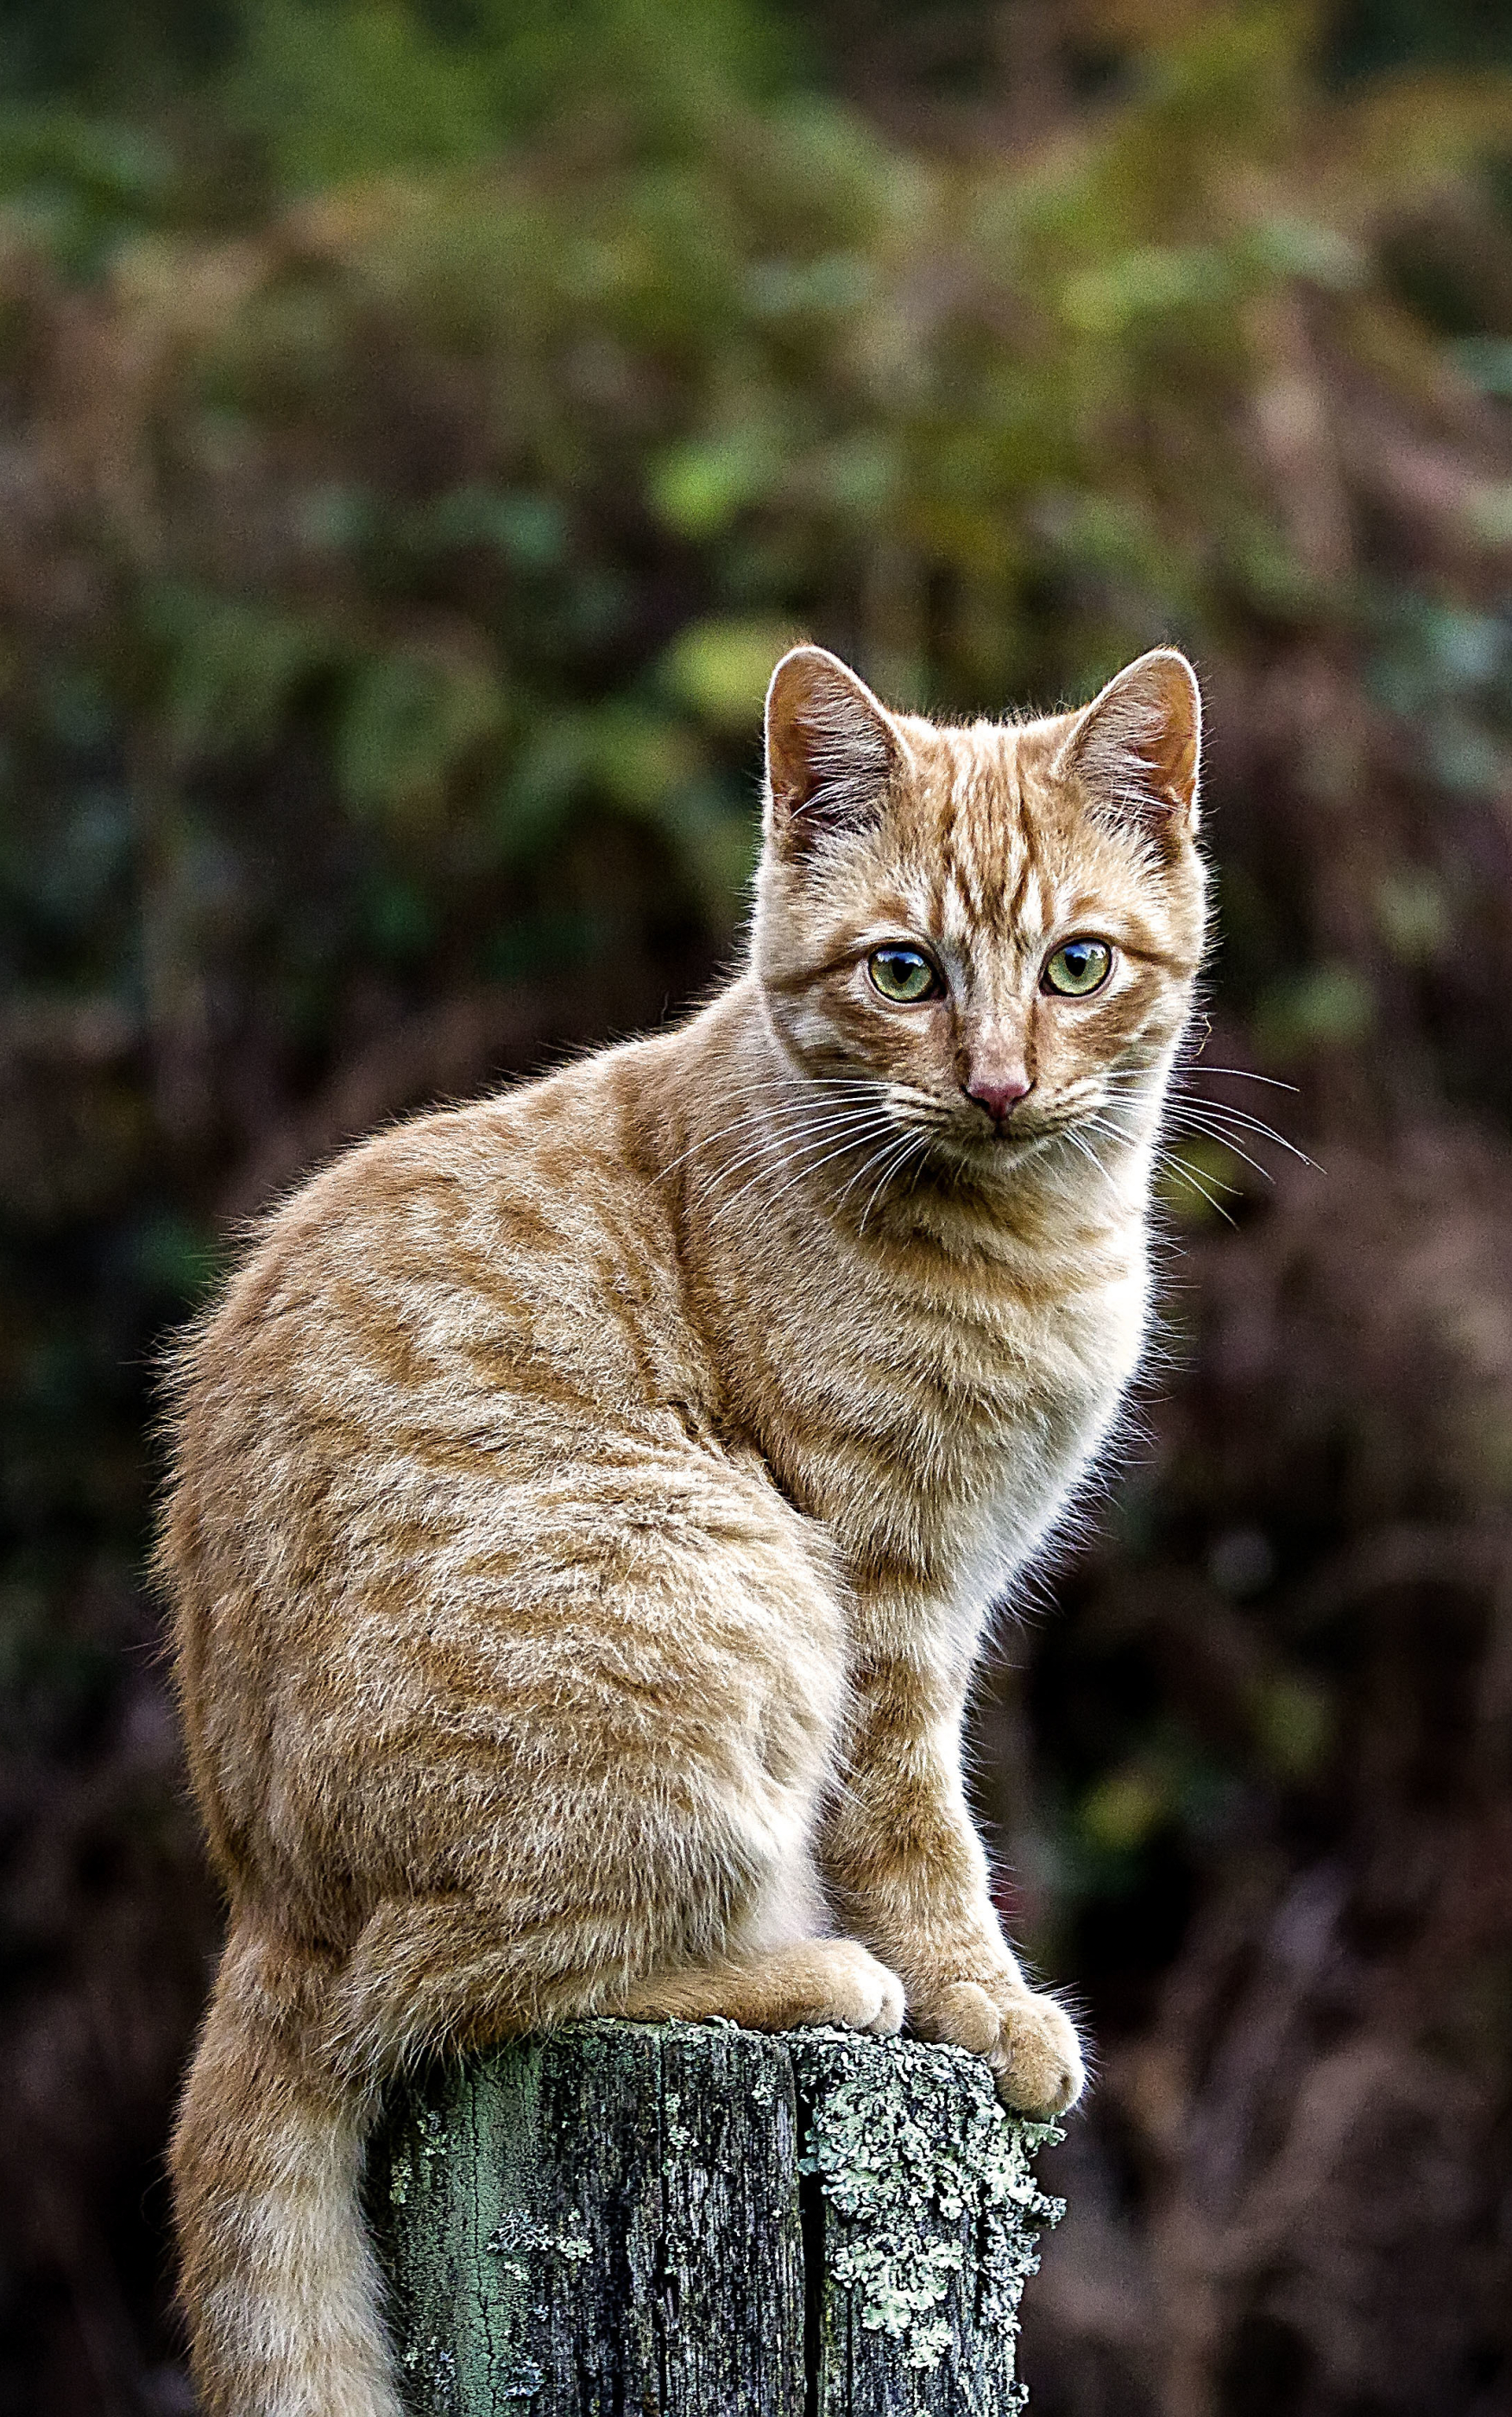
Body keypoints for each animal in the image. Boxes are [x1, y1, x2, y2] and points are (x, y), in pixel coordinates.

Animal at [159, 642, 1207, 2417]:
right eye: (905, 972)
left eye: (1077, 966)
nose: (999, 1084)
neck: (1030, 1239)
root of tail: (261, 1903)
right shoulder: (887, 1591)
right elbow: (918, 1836)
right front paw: (982, 2002)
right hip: (726, 1588)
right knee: (433, 1993)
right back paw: (815, 1976)